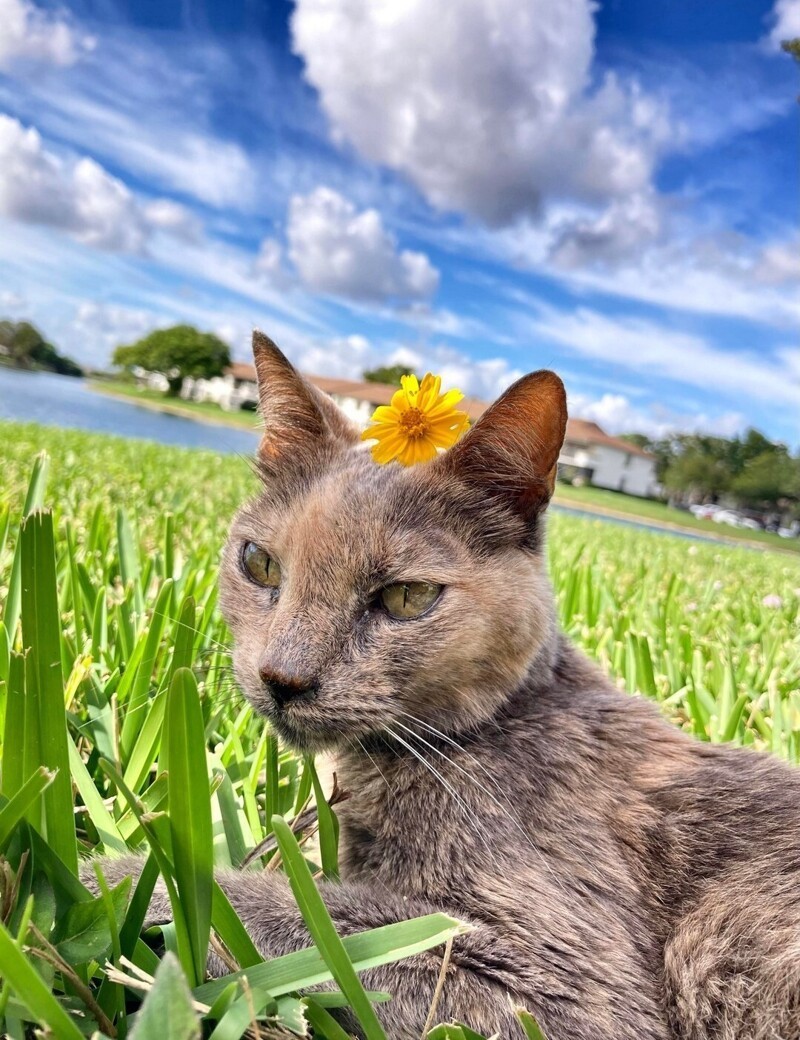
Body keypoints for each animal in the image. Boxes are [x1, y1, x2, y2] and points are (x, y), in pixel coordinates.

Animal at [90, 334, 798, 1040]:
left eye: (407, 596)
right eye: (258, 563)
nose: (282, 677)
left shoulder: (565, 984)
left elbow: (280, 907)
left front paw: (103, 881)